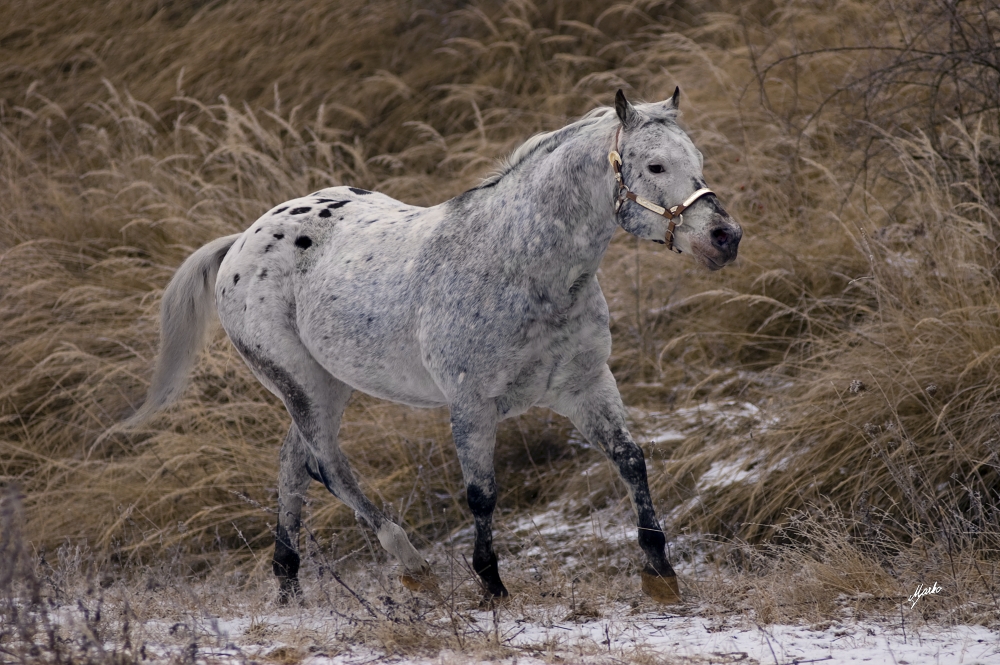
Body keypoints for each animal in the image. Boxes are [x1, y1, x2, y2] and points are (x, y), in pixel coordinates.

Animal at [119, 91, 744, 604]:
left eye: (697, 160)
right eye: (655, 165)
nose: (725, 238)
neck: (520, 265)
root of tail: (240, 244)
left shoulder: (585, 386)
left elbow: (630, 459)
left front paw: (660, 574)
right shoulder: (472, 405)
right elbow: (482, 493)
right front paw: (491, 586)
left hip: (326, 385)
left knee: (294, 465)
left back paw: (289, 584)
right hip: (303, 383)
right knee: (326, 466)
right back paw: (412, 566)